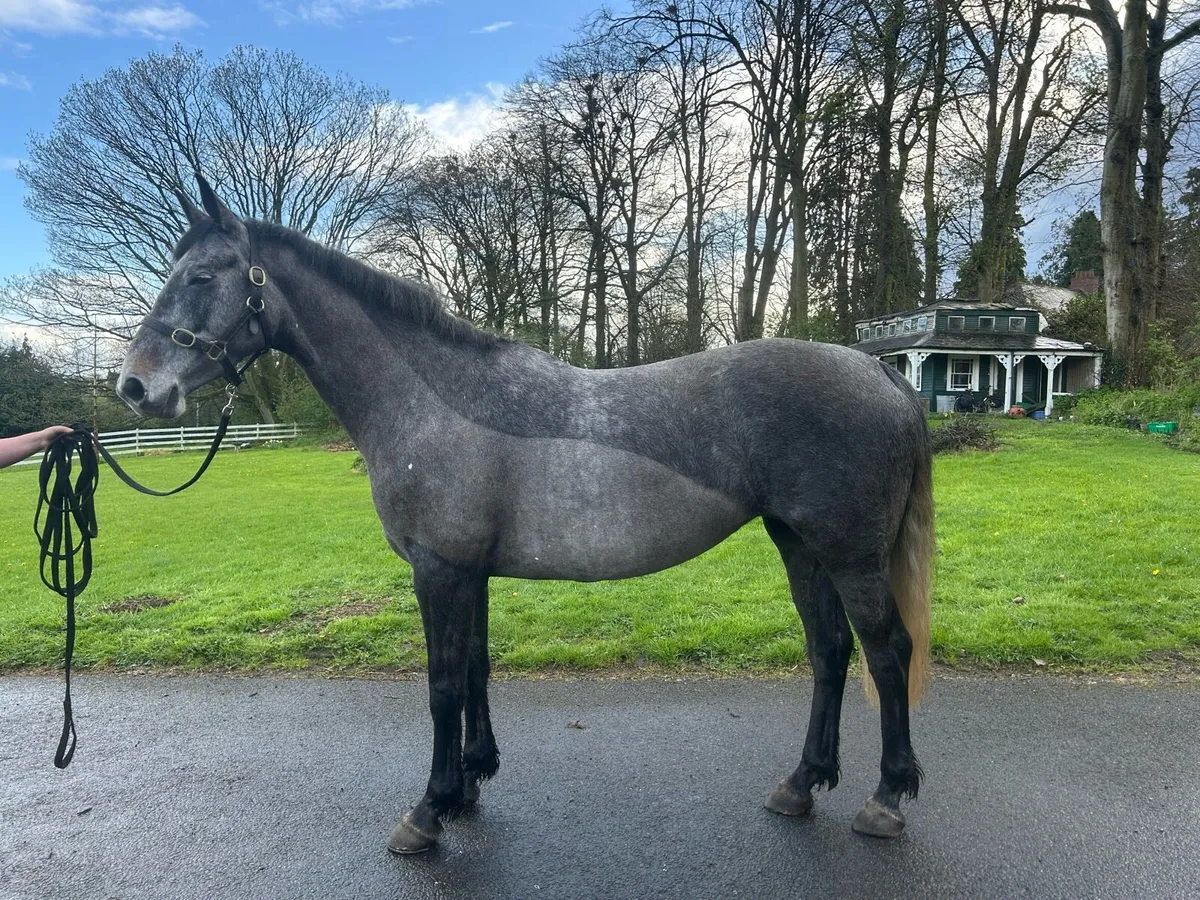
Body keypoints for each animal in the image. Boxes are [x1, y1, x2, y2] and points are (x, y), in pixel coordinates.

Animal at [116, 175, 935, 854]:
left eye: (201, 274)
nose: (134, 387)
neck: (431, 403)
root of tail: (880, 372)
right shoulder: (468, 573)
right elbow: (477, 668)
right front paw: (471, 784)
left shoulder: (439, 571)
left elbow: (443, 683)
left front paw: (428, 811)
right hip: (800, 543)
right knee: (830, 650)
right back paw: (800, 785)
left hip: (850, 554)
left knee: (888, 652)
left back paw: (887, 799)